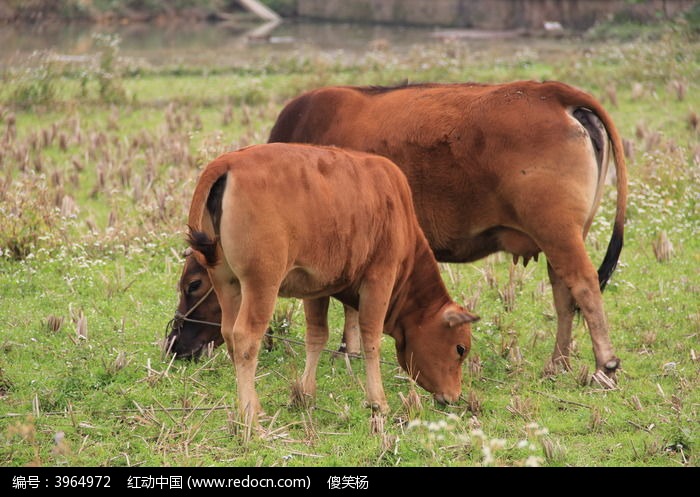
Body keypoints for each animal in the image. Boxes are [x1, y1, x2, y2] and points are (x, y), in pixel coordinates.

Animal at [168, 79, 628, 386]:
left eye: (192, 285)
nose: (174, 344)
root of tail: (555, 93)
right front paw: (348, 350)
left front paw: (348, 351)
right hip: (562, 237)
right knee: (565, 294)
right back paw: (558, 363)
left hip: (557, 231)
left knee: (585, 285)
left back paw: (604, 364)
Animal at [185, 142, 476, 422]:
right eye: (460, 349)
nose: (454, 396)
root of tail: (229, 161)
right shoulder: (379, 278)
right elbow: (371, 337)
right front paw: (378, 402)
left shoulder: (315, 289)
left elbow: (317, 336)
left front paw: (305, 394)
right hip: (262, 285)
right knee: (245, 338)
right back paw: (250, 415)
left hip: (226, 283)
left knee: (229, 335)